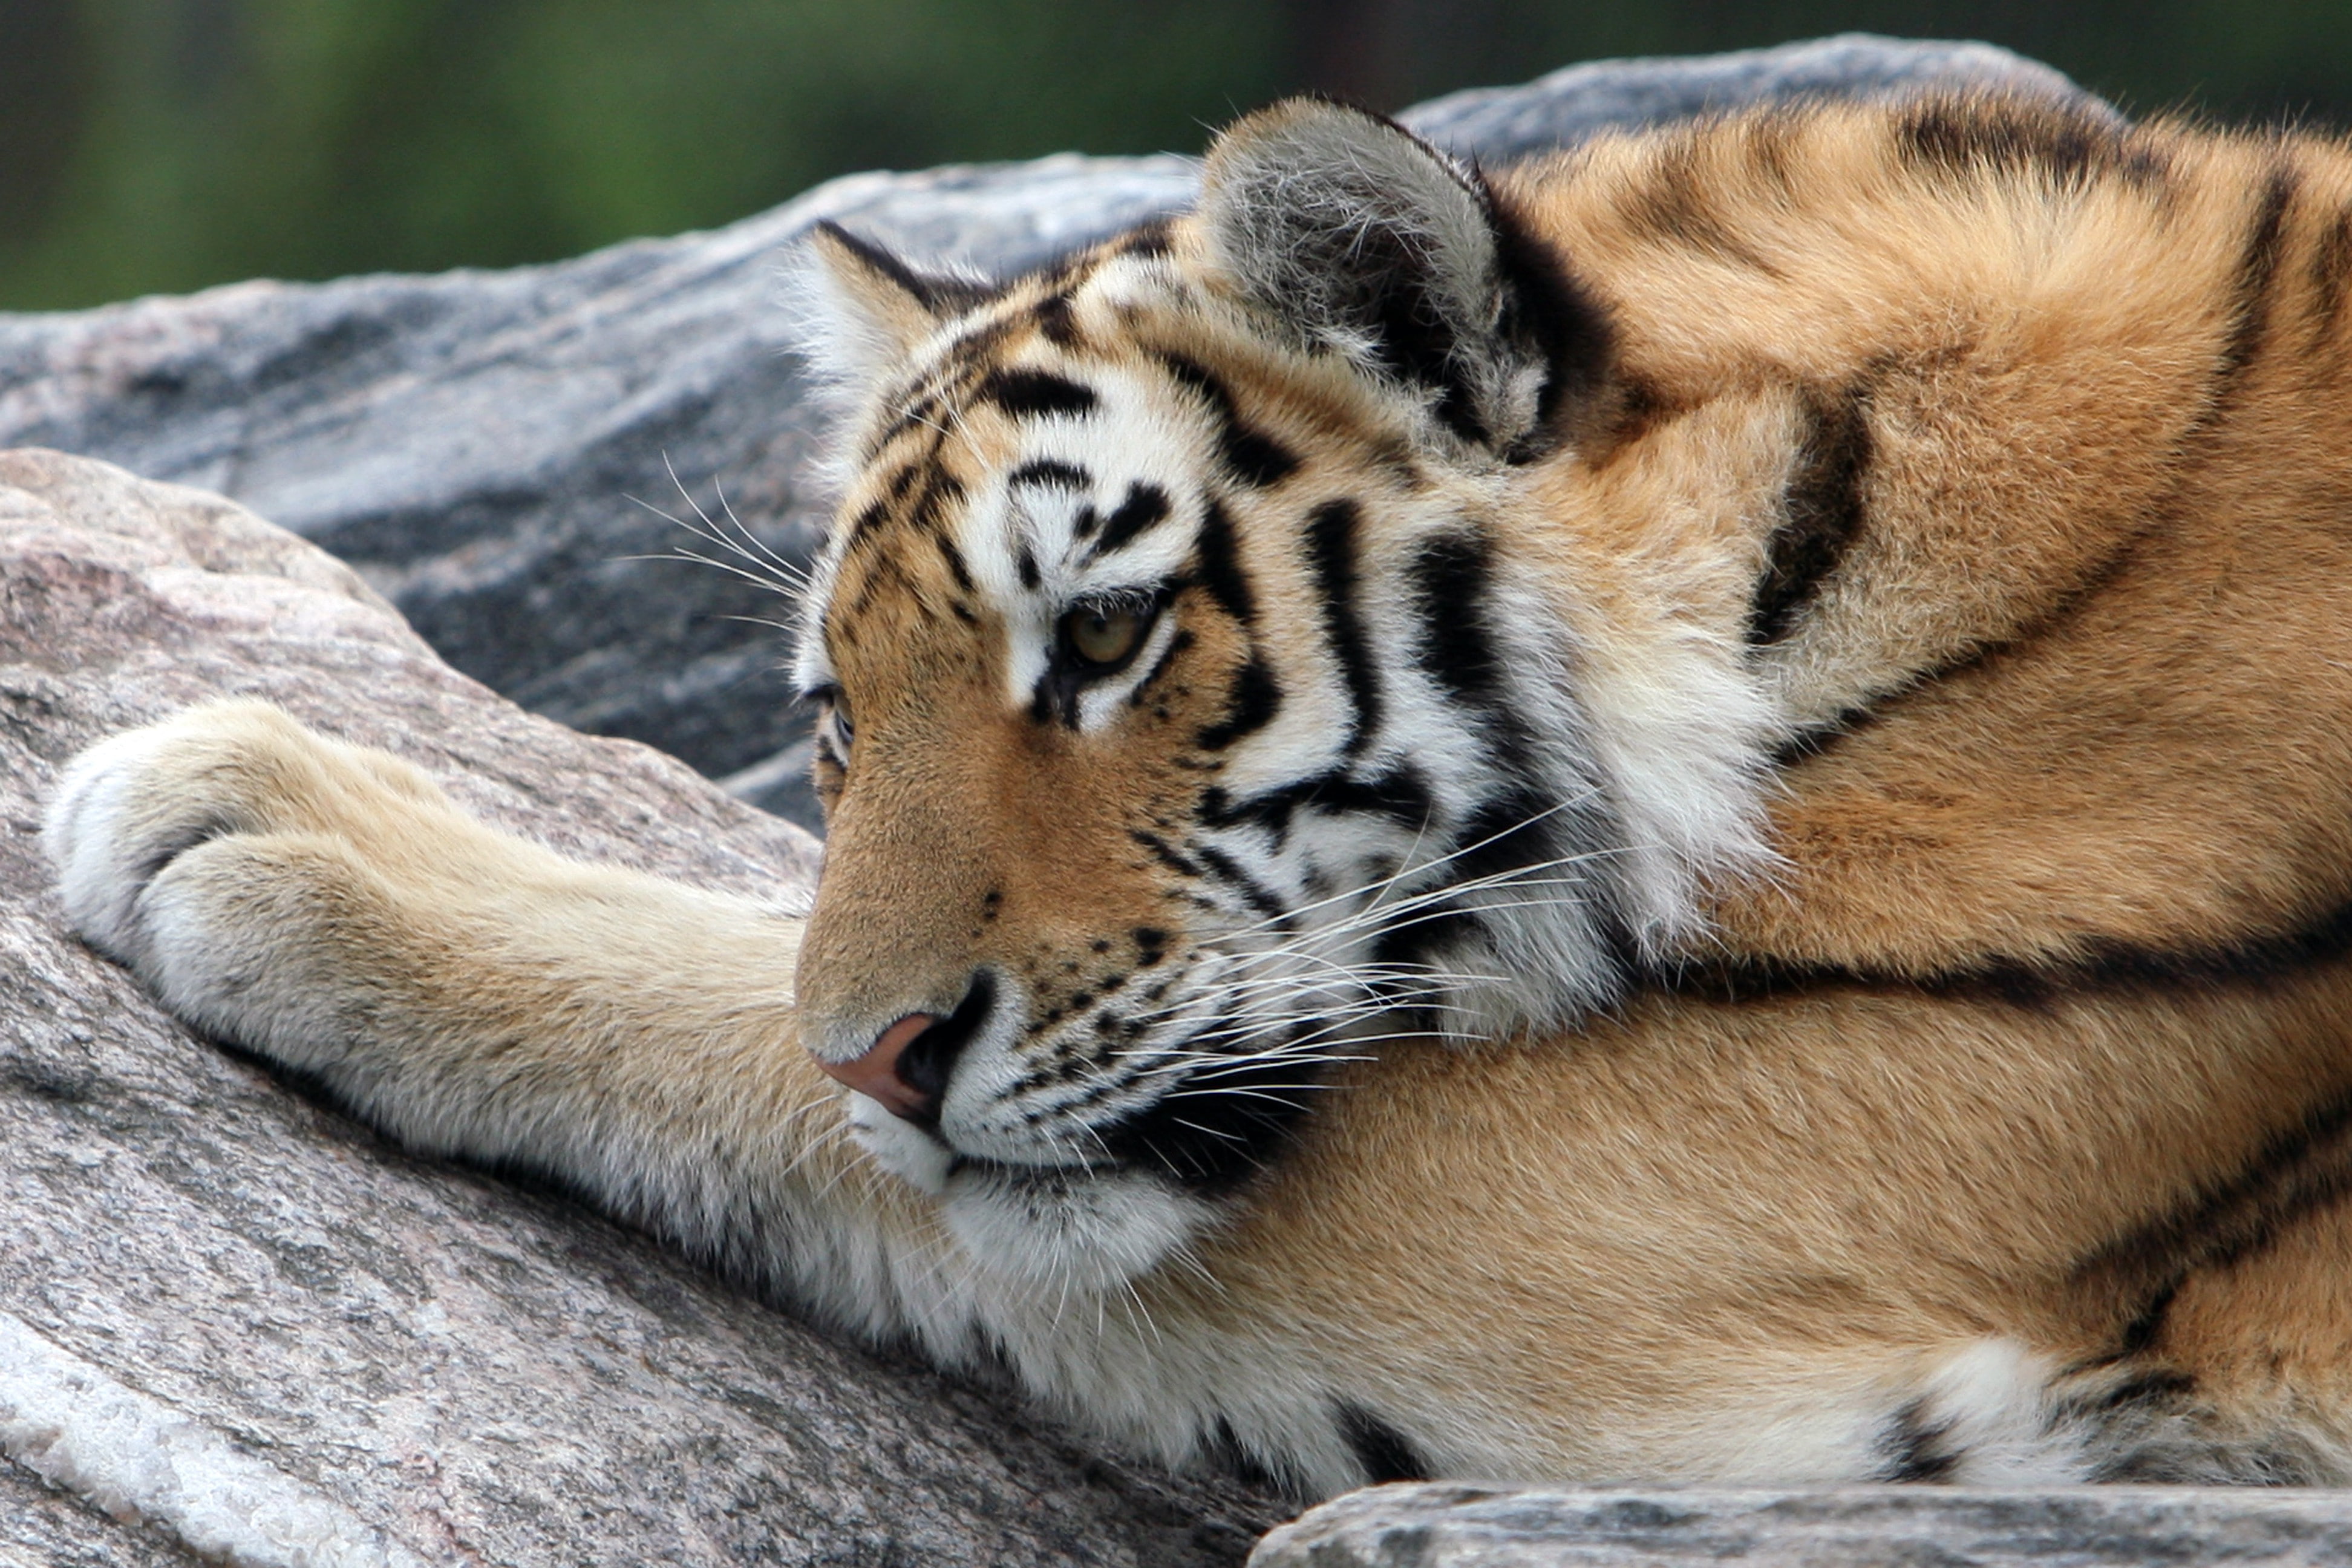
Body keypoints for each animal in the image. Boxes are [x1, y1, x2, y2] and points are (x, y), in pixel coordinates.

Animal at [43, 88, 2352, 1498]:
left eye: (1097, 636)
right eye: (834, 720)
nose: (883, 1056)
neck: (1814, 544)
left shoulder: (1701, 1181)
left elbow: (735, 1013)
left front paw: (251, 810)